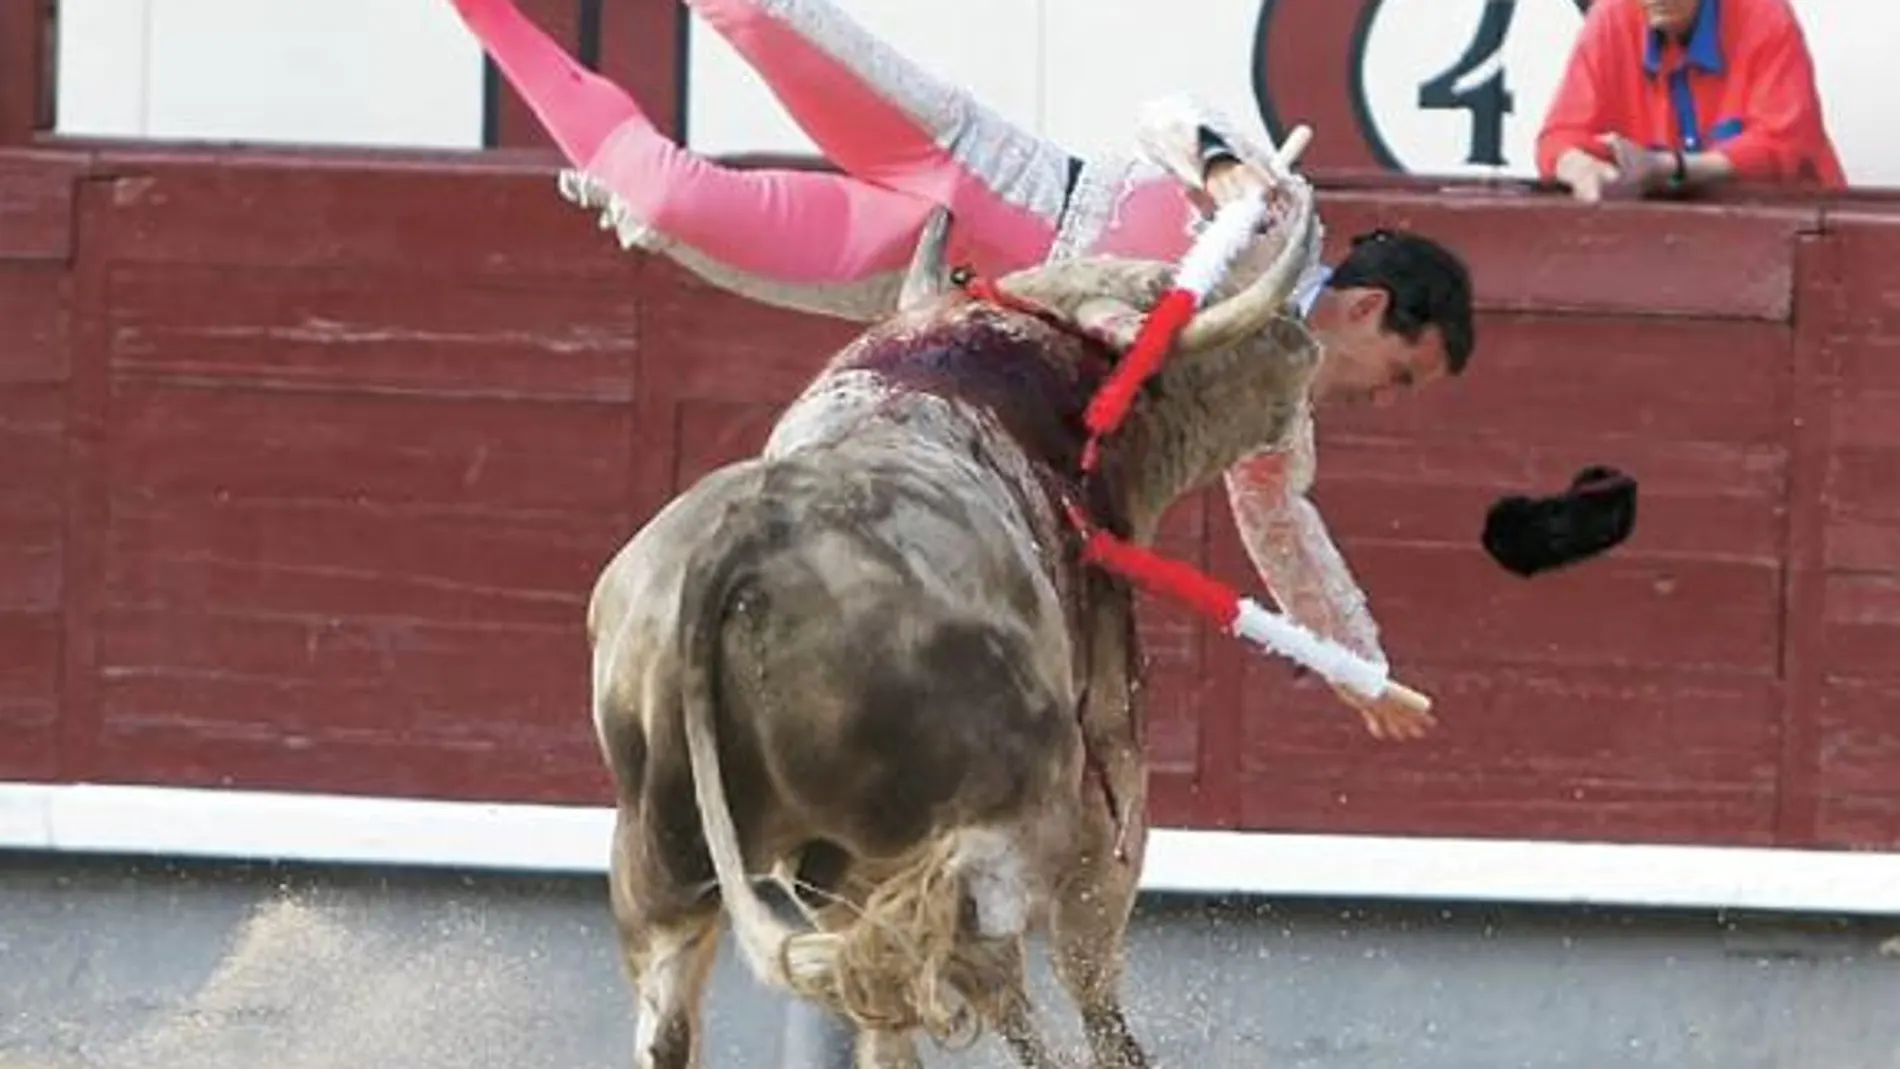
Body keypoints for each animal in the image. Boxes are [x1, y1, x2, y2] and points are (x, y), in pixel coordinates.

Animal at [589, 171, 1322, 1063]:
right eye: (1166, 298)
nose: (1298, 334)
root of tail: (743, 541)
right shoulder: (1112, 756)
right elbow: (1087, 952)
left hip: (661, 855)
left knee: (700, 1010)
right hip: (1009, 802)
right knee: (967, 951)